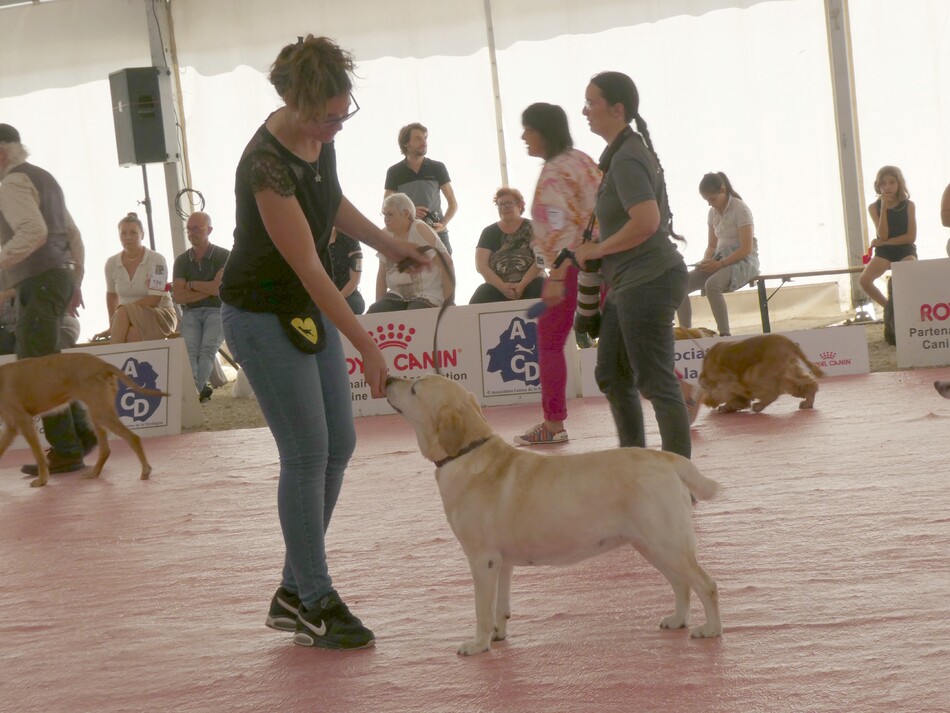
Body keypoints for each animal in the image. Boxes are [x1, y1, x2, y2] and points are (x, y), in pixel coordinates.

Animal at [0, 352, 167, 486]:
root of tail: (102, 364)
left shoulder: (24, 421)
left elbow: (38, 455)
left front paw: (42, 480)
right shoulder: (11, 426)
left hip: (101, 413)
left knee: (133, 438)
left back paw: (145, 470)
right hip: (96, 413)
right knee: (105, 450)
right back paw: (94, 473)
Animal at [386, 376, 720, 652]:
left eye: (414, 387)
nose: (388, 378)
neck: (467, 451)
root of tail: (668, 459)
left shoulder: (482, 559)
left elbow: (482, 608)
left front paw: (478, 644)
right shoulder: (502, 562)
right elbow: (500, 605)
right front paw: (498, 634)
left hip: (666, 543)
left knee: (706, 584)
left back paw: (711, 629)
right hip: (651, 545)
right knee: (681, 585)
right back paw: (677, 620)